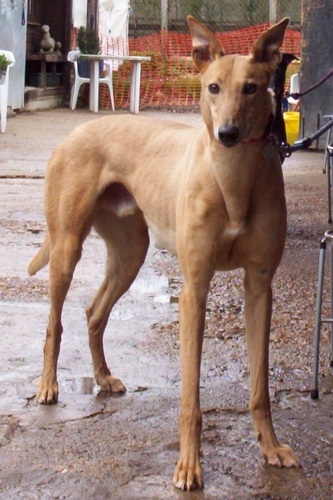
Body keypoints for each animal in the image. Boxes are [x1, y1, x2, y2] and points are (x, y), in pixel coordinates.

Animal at [28, 16, 300, 492]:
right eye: (213, 87)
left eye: (251, 88)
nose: (227, 134)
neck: (232, 181)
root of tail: (76, 131)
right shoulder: (194, 289)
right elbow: (190, 397)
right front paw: (189, 466)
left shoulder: (259, 286)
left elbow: (260, 387)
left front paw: (270, 448)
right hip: (66, 247)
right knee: (54, 324)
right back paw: (48, 387)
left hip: (130, 255)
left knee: (94, 313)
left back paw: (102, 376)